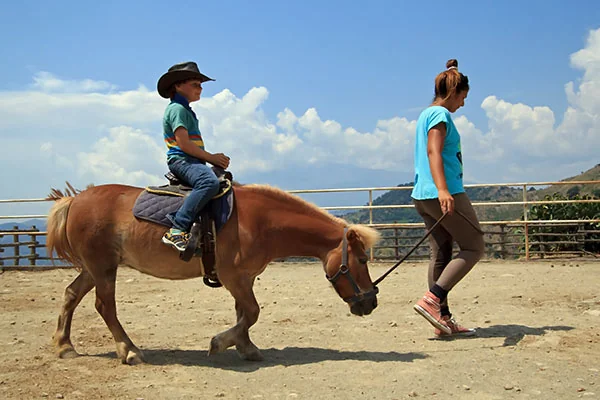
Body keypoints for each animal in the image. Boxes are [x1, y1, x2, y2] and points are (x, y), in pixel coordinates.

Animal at [49, 183, 382, 364]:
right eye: (361, 259)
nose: (370, 303)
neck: (260, 220)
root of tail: (74, 200)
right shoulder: (233, 276)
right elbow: (252, 311)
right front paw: (221, 342)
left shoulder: (245, 277)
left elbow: (244, 313)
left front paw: (245, 347)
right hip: (103, 267)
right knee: (105, 306)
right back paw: (128, 350)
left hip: (93, 268)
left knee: (70, 295)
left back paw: (65, 346)